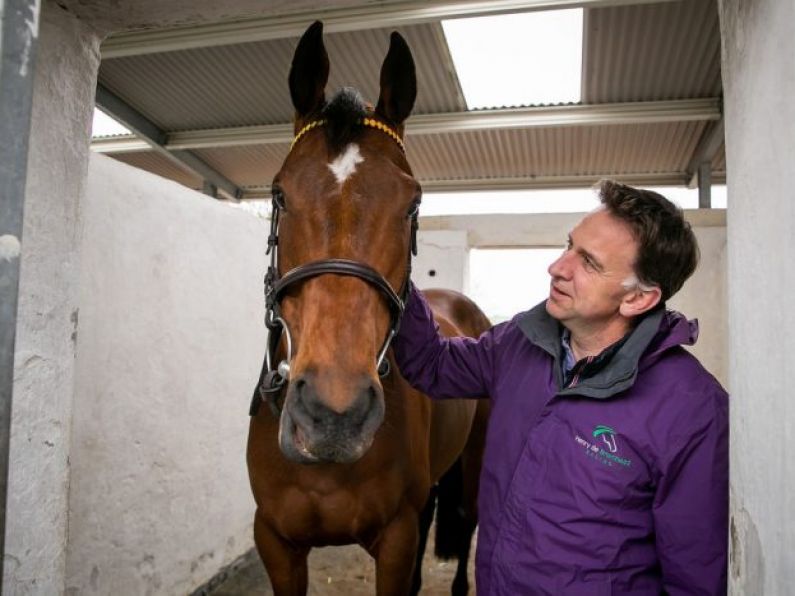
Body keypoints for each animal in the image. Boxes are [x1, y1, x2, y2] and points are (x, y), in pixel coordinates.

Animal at [246, 21, 488, 592]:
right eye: (279, 194)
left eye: (413, 202)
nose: (334, 416)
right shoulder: (275, 542)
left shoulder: (395, 541)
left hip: (472, 463)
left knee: (466, 520)